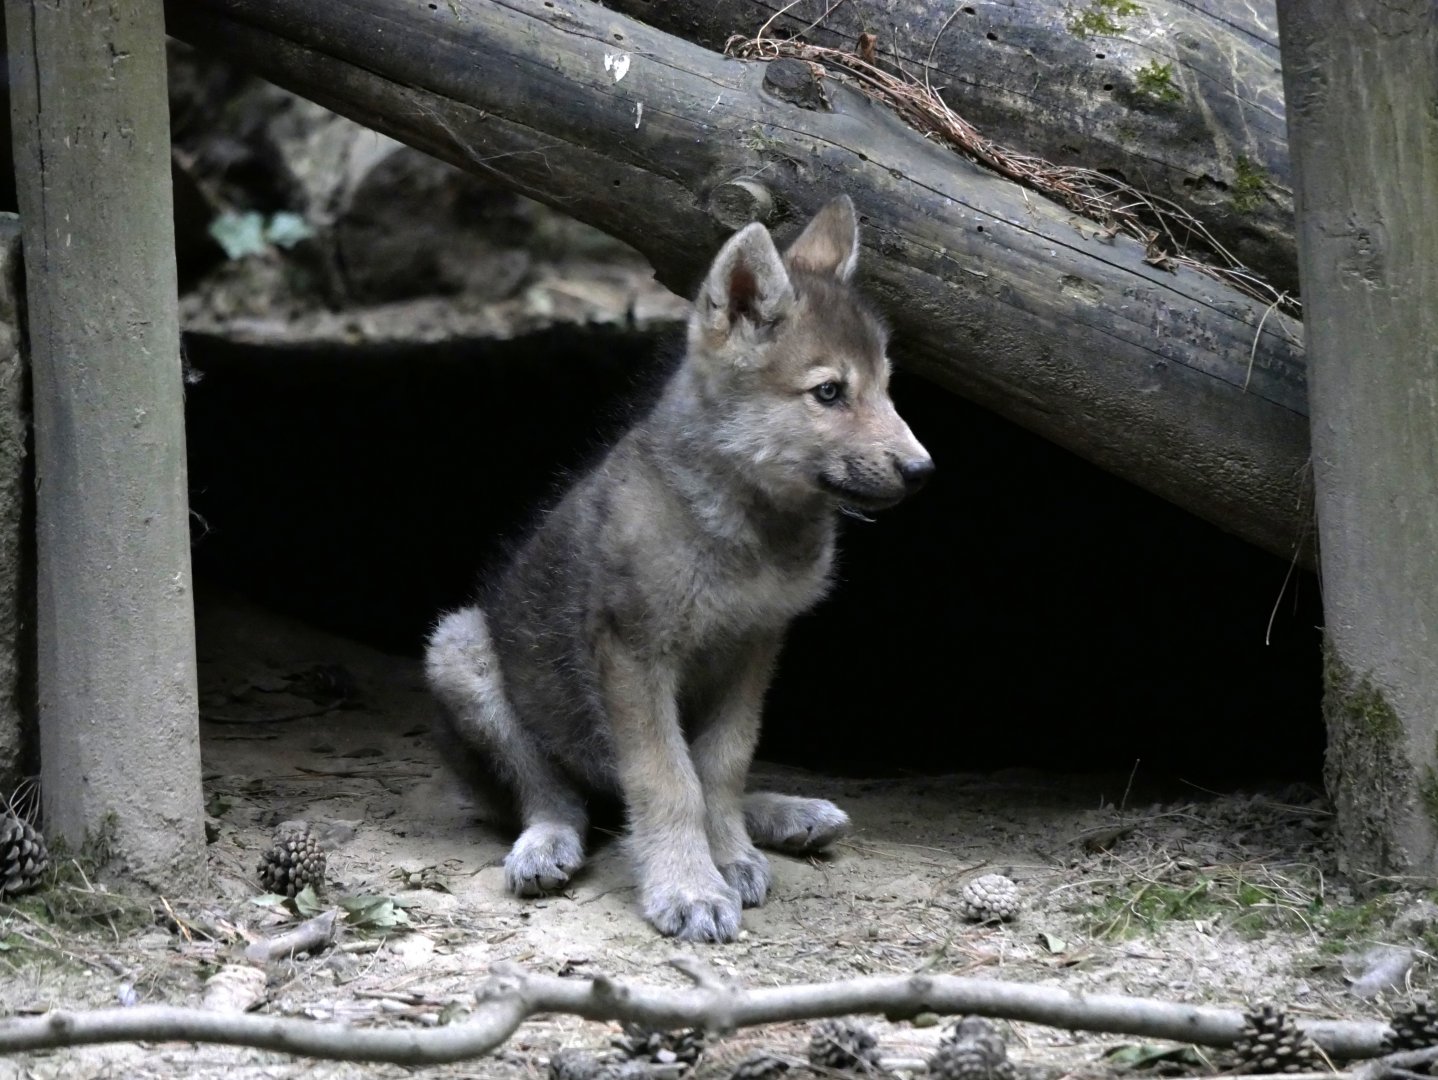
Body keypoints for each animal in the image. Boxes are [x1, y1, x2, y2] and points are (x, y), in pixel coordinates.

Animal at [425, 195, 932, 942]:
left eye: (887, 388)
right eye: (829, 393)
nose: (923, 470)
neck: (747, 527)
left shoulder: (755, 645)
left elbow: (720, 767)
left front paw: (731, 855)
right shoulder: (634, 653)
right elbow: (668, 780)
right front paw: (689, 887)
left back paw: (785, 815)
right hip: (460, 651)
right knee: (554, 795)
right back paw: (546, 845)